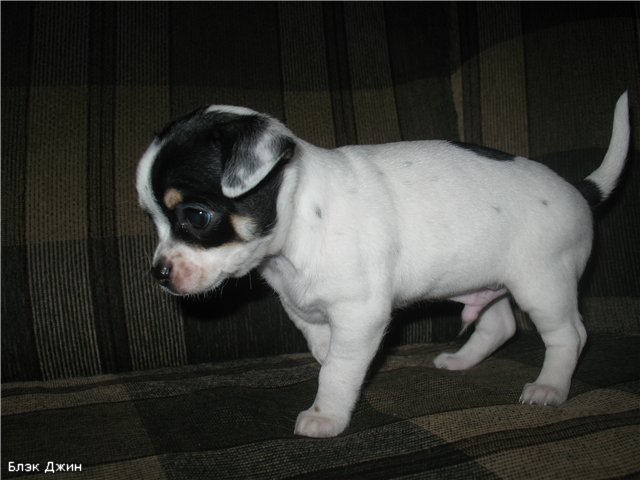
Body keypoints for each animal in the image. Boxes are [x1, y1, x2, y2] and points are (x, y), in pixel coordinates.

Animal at [136, 93, 630, 438]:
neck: (299, 223)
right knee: (500, 325)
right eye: (152, 219)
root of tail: (580, 190)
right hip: (485, 281)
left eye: (197, 216)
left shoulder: (360, 315)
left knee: (569, 334)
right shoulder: (306, 313)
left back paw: (550, 388)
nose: (158, 274)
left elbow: (337, 369)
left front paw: (326, 415)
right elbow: (328, 354)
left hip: (542, 283)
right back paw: (461, 360)